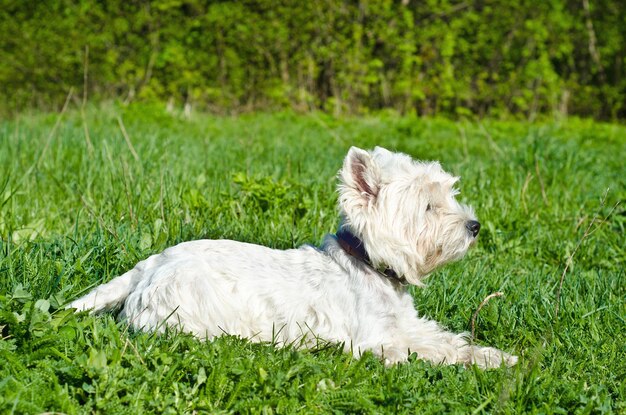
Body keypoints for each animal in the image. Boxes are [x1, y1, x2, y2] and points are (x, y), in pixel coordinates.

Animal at [70, 148, 516, 368]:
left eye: (449, 194)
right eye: (427, 206)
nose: (475, 226)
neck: (369, 266)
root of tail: (149, 265)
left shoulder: (408, 324)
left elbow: (447, 339)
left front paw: (496, 355)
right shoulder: (374, 341)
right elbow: (430, 351)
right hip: (191, 309)